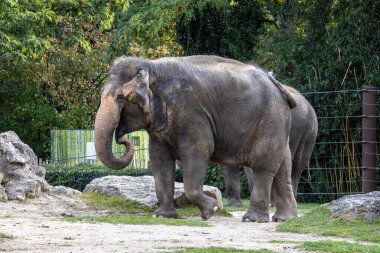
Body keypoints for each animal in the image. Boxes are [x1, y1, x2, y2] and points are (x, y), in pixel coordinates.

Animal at [93, 55, 298, 221]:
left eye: (120, 98)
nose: (123, 140)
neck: (151, 66)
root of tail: (278, 86)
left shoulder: (190, 112)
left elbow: (199, 150)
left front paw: (211, 211)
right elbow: (159, 160)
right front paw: (162, 216)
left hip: (270, 120)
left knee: (263, 167)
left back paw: (252, 219)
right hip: (278, 125)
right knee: (283, 167)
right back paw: (284, 219)